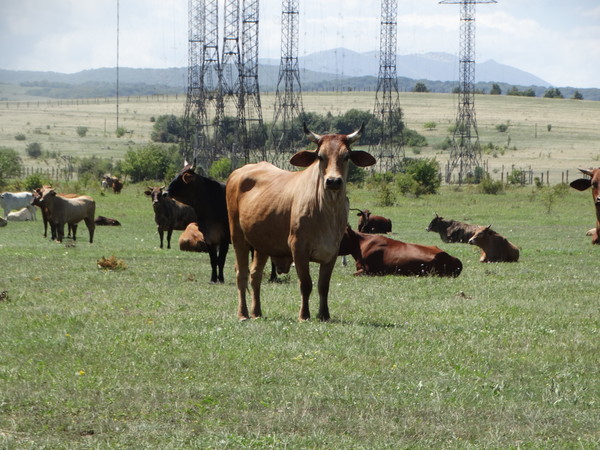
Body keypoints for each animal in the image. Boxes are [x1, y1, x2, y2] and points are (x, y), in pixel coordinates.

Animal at [226, 124, 376, 320]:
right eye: (320, 156)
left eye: (346, 156)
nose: (333, 181)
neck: (328, 211)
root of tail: (238, 172)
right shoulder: (298, 248)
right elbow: (306, 284)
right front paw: (304, 315)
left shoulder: (332, 251)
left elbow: (323, 286)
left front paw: (324, 315)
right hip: (238, 237)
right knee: (242, 274)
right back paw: (243, 313)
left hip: (262, 244)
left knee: (255, 275)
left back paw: (256, 311)